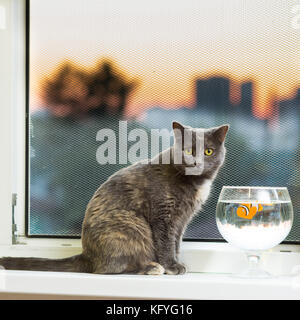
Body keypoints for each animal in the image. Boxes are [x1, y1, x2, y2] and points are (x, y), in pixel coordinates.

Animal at [0, 121, 229, 274]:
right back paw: (151, 267)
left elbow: (177, 242)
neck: (194, 183)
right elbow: (166, 242)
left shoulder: (181, 220)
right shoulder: (163, 216)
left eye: (208, 151)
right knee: (111, 268)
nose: (197, 162)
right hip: (131, 224)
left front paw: (176, 261)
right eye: (188, 150)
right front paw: (171, 265)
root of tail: (87, 256)